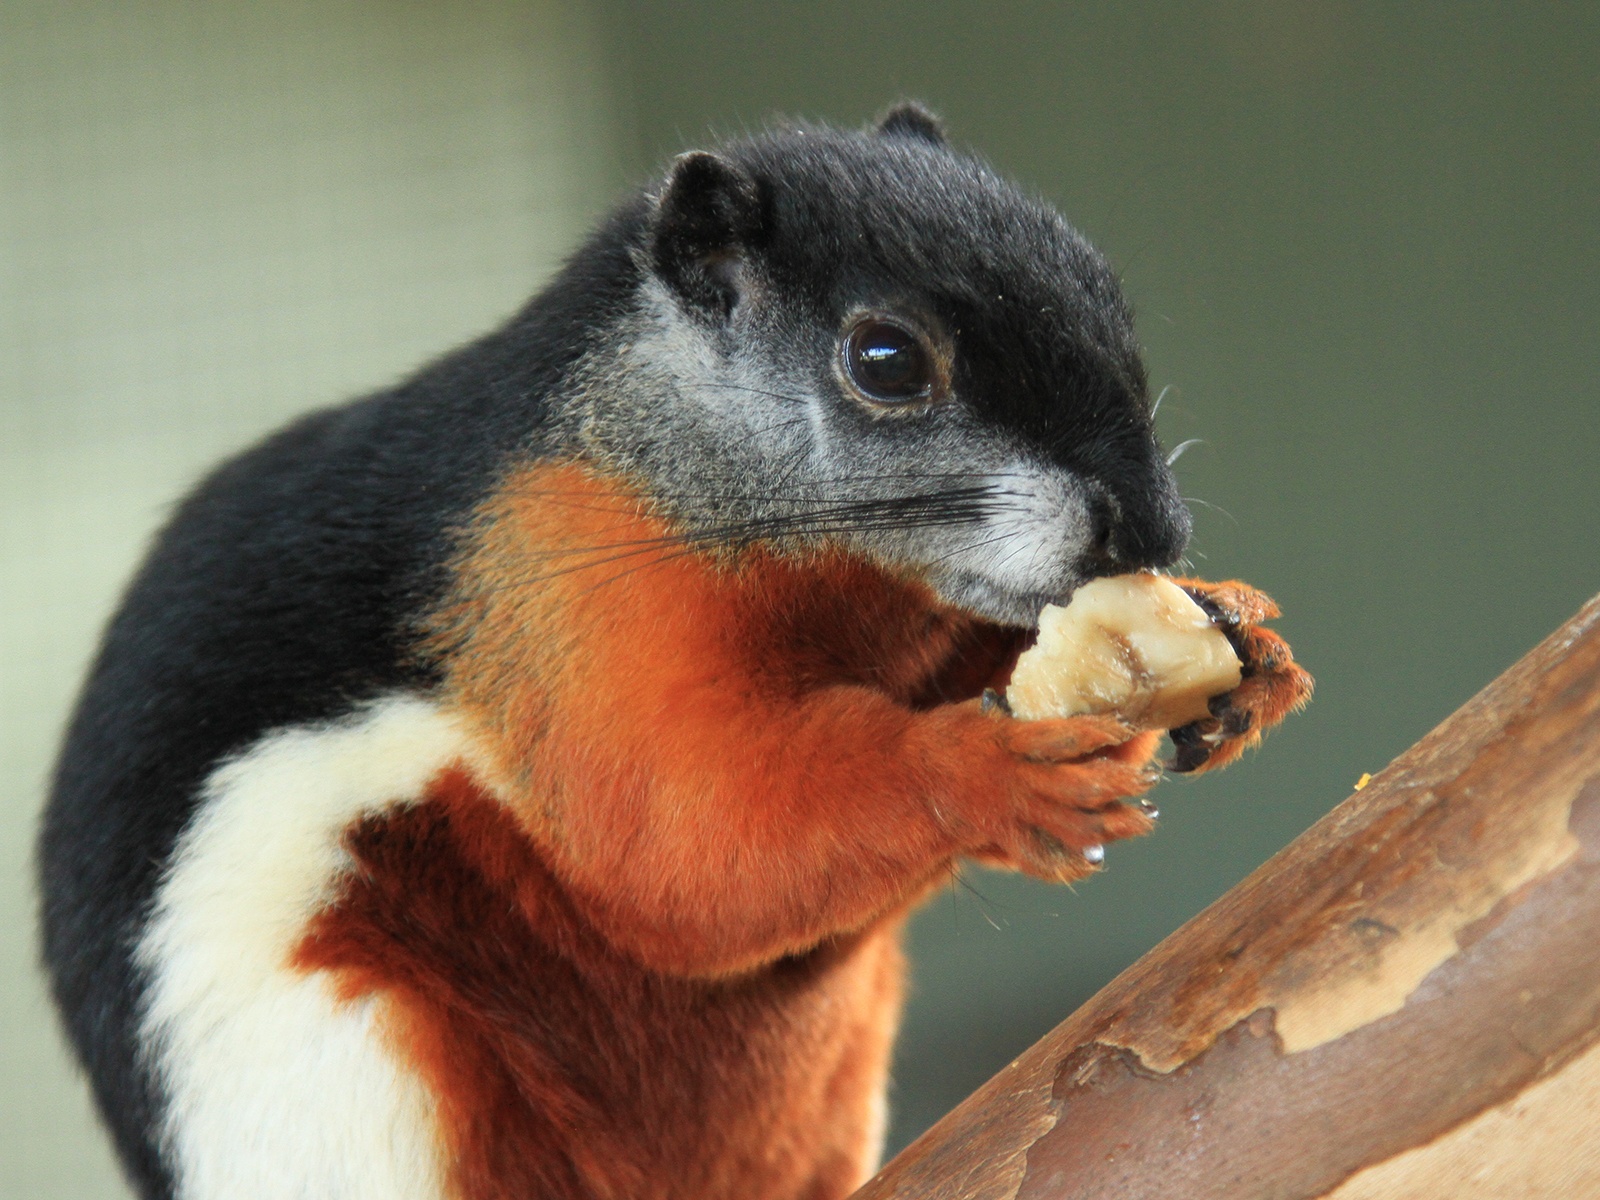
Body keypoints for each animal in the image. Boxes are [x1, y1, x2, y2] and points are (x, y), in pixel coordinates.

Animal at [38, 103, 1311, 1200]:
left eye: (1105, 292)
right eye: (886, 361)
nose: (1152, 530)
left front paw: (1236, 639)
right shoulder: (561, 600)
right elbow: (680, 844)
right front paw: (977, 772)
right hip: (366, 1085)